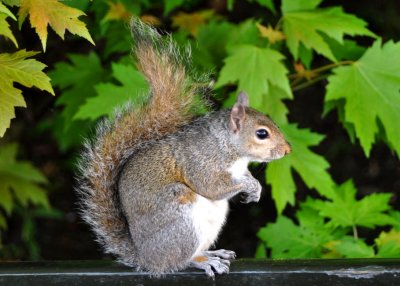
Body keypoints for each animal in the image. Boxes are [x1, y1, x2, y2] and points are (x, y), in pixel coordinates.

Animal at [77, 19, 290, 278]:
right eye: (262, 133)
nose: (287, 150)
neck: (230, 150)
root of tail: (146, 259)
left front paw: (255, 187)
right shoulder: (201, 163)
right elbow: (213, 187)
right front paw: (248, 186)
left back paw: (213, 253)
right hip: (180, 217)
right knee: (178, 262)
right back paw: (202, 261)